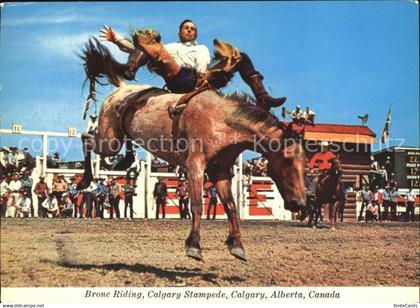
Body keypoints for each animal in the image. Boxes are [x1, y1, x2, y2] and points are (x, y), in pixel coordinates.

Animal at [78, 38, 306, 260]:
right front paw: (194, 246)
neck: (221, 121)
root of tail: (122, 88)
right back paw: (85, 180)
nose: (300, 203)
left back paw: (124, 161)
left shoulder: (220, 170)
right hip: (109, 141)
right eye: (287, 159)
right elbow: (197, 204)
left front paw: (236, 245)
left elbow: (231, 206)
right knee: (86, 139)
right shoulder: (195, 165)